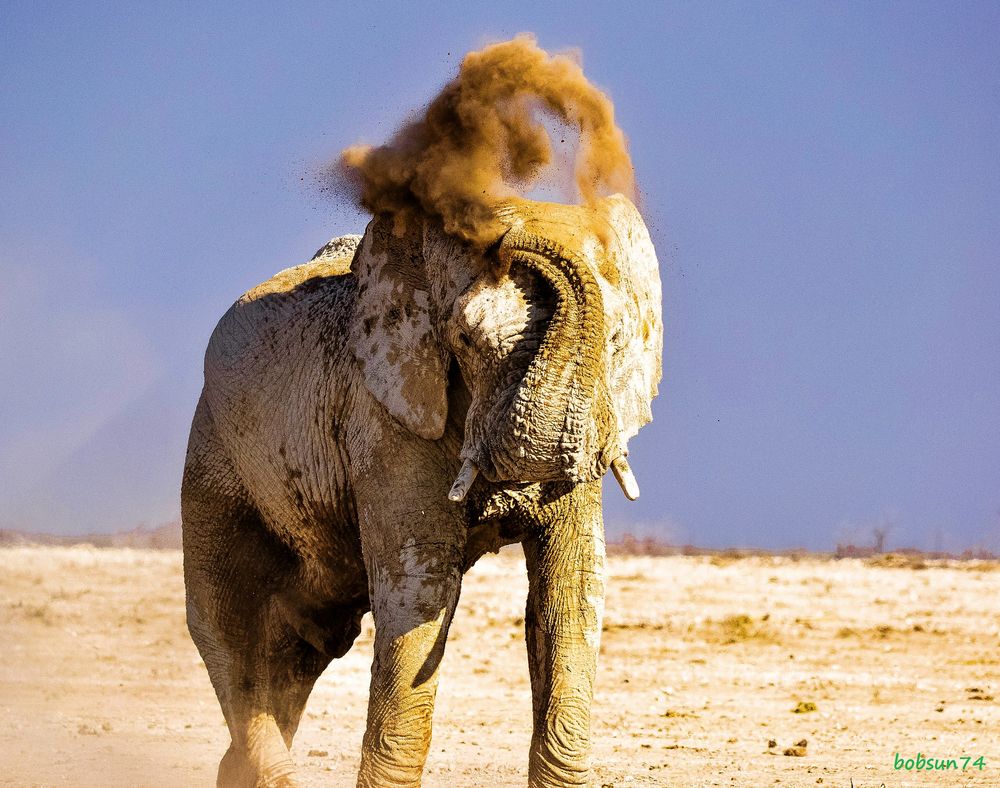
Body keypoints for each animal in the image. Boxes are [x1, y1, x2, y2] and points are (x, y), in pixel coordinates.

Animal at [182, 192, 664, 788]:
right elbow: (419, 589)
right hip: (216, 452)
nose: (510, 233)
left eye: (617, 344)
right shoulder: (382, 413)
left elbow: (570, 587)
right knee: (229, 626)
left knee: (301, 645)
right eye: (466, 341)